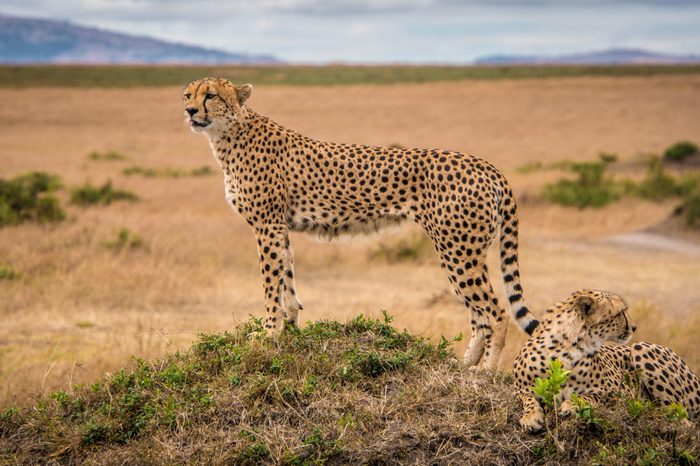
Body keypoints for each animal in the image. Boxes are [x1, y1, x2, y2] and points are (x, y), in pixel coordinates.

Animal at [183, 78, 540, 370]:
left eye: (210, 95)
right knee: (479, 314)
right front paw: (291, 330)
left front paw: (268, 336)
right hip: (464, 251)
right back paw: (465, 365)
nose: (189, 110)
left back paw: (486, 373)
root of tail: (486, 165)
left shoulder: (266, 226)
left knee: (495, 313)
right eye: (188, 94)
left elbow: (271, 284)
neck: (229, 134)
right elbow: (288, 281)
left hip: (458, 250)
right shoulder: (279, 227)